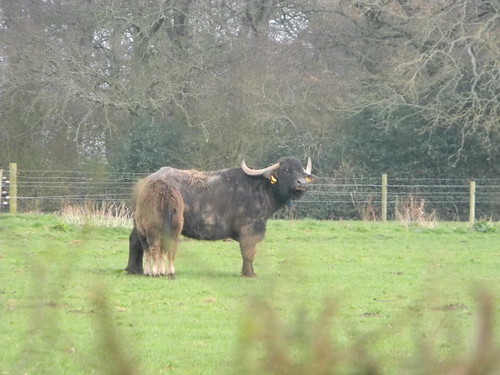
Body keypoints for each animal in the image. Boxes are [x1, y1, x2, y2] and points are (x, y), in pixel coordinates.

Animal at [125, 157, 314, 278]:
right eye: (286, 170)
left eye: (301, 171)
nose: (302, 184)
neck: (262, 190)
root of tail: (144, 182)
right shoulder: (248, 231)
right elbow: (248, 253)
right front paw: (249, 274)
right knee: (137, 241)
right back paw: (136, 270)